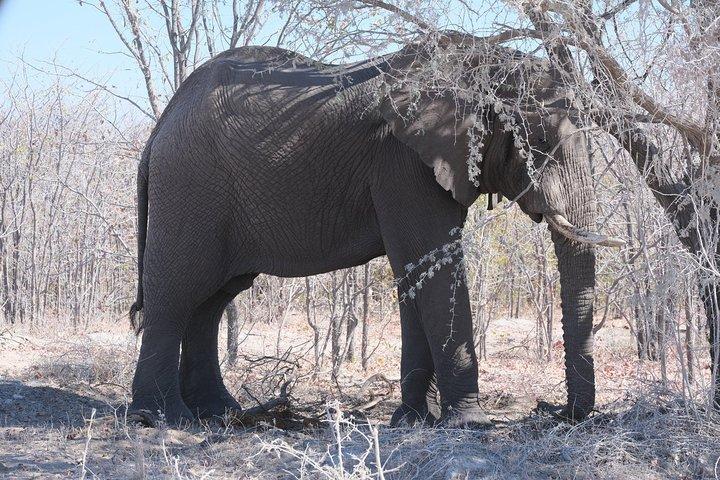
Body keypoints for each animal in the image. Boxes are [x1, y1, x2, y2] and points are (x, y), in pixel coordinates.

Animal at [127, 33, 623, 427]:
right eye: (536, 140)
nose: (553, 410)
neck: (477, 63)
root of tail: (158, 130)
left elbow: (414, 272)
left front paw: (414, 420)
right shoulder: (402, 163)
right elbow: (435, 267)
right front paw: (470, 423)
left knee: (211, 300)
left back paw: (218, 413)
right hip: (190, 186)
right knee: (176, 292)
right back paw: (163, 419)